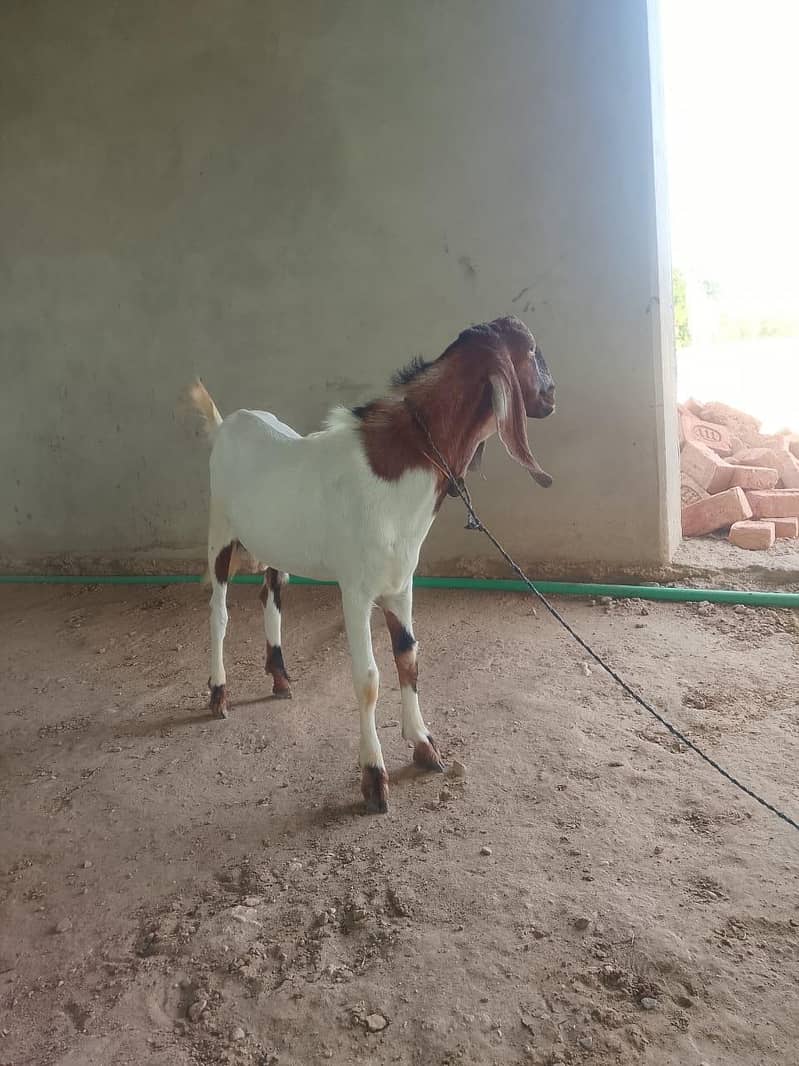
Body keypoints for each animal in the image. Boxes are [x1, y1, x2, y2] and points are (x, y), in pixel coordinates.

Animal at [189, 315, 555, 813]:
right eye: (532, 350)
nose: (552, 394)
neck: (396, 475)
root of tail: (228, 423)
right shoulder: (356, 591)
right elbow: (367, 678)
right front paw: (373, 777)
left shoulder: (400, 584)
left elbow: (409, 658)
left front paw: (423, 745)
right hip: (219, 529)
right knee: (219, 612)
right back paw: (218, 694)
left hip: (275, 543)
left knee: (271, 593)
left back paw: (280, 677)